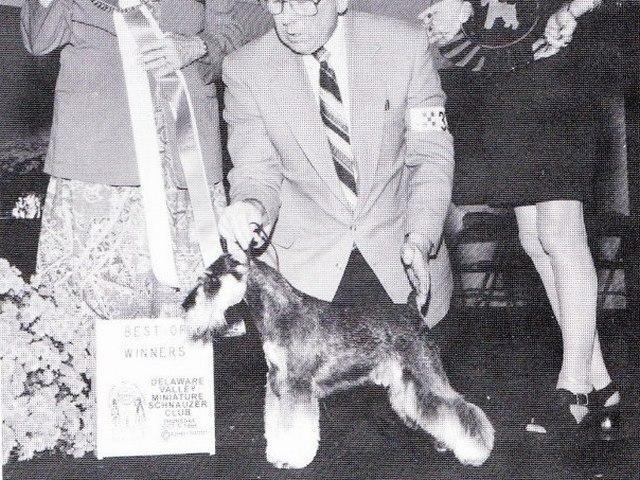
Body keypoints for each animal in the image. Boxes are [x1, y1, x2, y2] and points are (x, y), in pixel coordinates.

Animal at [182, 253, 495, 468]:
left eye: (211, 280)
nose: (184, 305)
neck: (280, 312)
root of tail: (412, 308)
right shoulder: (276, 382)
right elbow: (277, 422)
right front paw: (277, 452)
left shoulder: (297, 385)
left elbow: (294, 425)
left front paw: (291, 457)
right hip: (406, 380)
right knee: (428, 409)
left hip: (425, 370)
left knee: (459, 408)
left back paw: (476, 451)